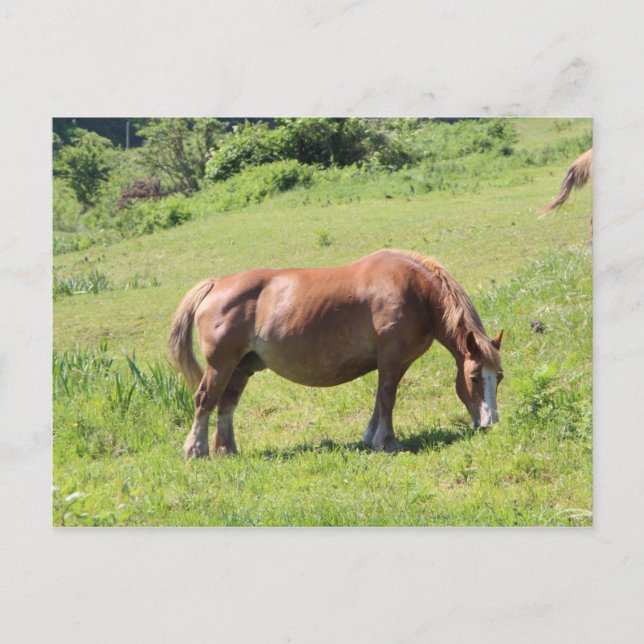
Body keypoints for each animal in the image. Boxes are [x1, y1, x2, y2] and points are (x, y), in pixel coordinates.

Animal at [169, 249, 504, 460]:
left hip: (241, 367)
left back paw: (227, 450)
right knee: (205, 401)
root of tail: (216, 284)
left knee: (226, 405)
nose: (491, 424)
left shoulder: (394, 362)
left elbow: (379, 400)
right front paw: (388, 442)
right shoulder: (391, 357)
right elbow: (388, 398)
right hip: (220, 364)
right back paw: (196, 451)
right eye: (475, 377)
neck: (415, 292)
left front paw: (371, 438)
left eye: (498, 377)